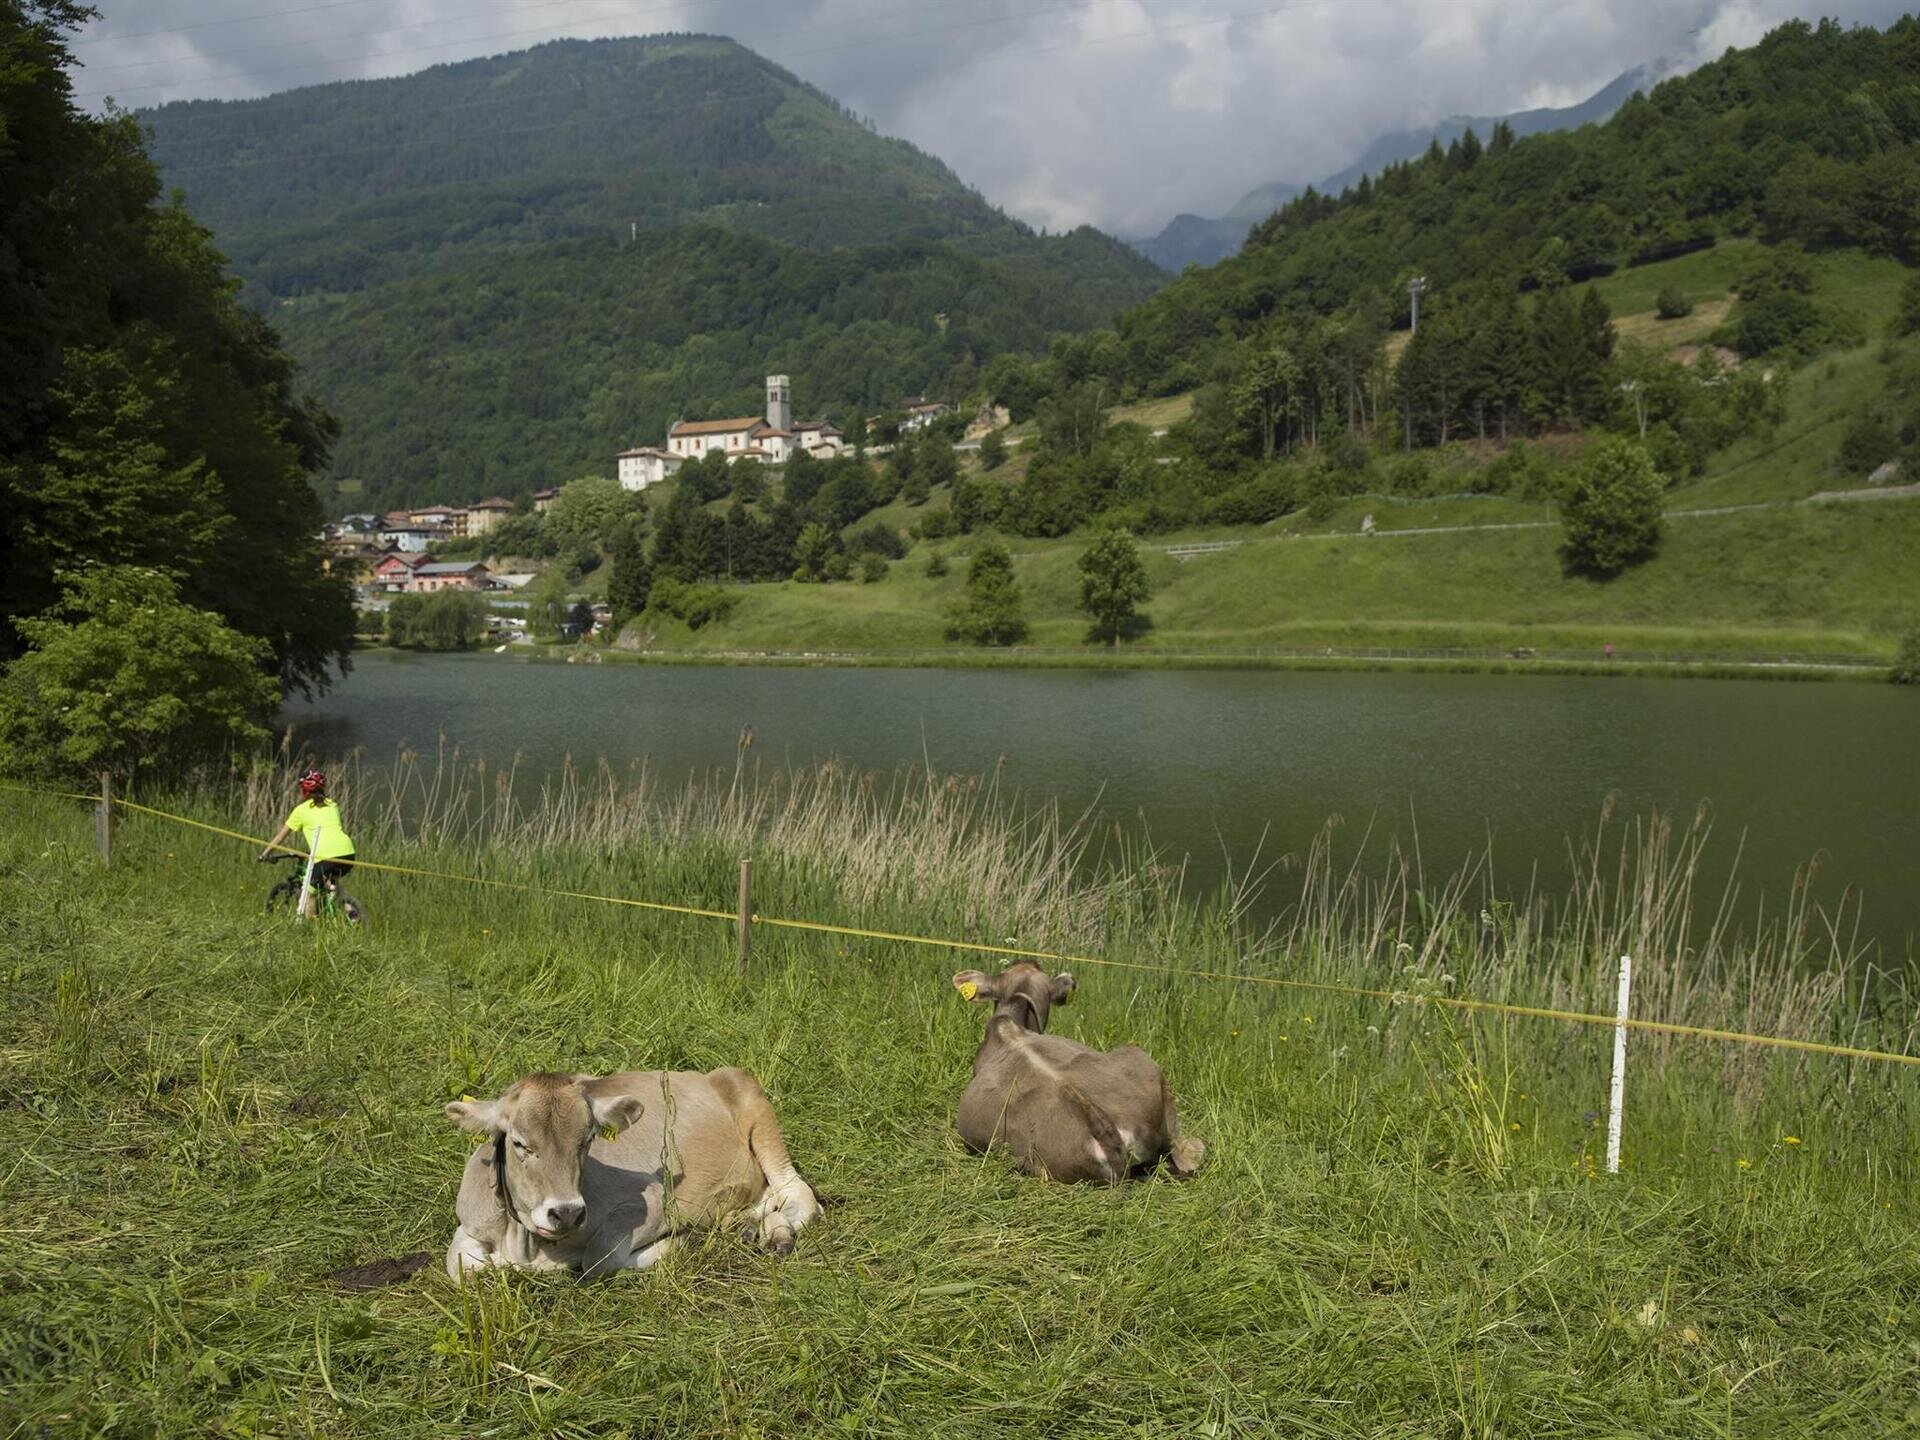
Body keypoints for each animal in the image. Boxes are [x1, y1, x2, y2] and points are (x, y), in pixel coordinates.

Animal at [441, 1075, 817, 1282]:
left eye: (588, 1139)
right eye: (519, 1143)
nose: (567, 1213)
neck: (526, 1244)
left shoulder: (652, 1202)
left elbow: (597, 1259)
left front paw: (677, 1242)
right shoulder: (469, 1223)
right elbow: (461, 1266)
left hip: (751, 1099)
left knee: (798, 1197)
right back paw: (753, 1227)